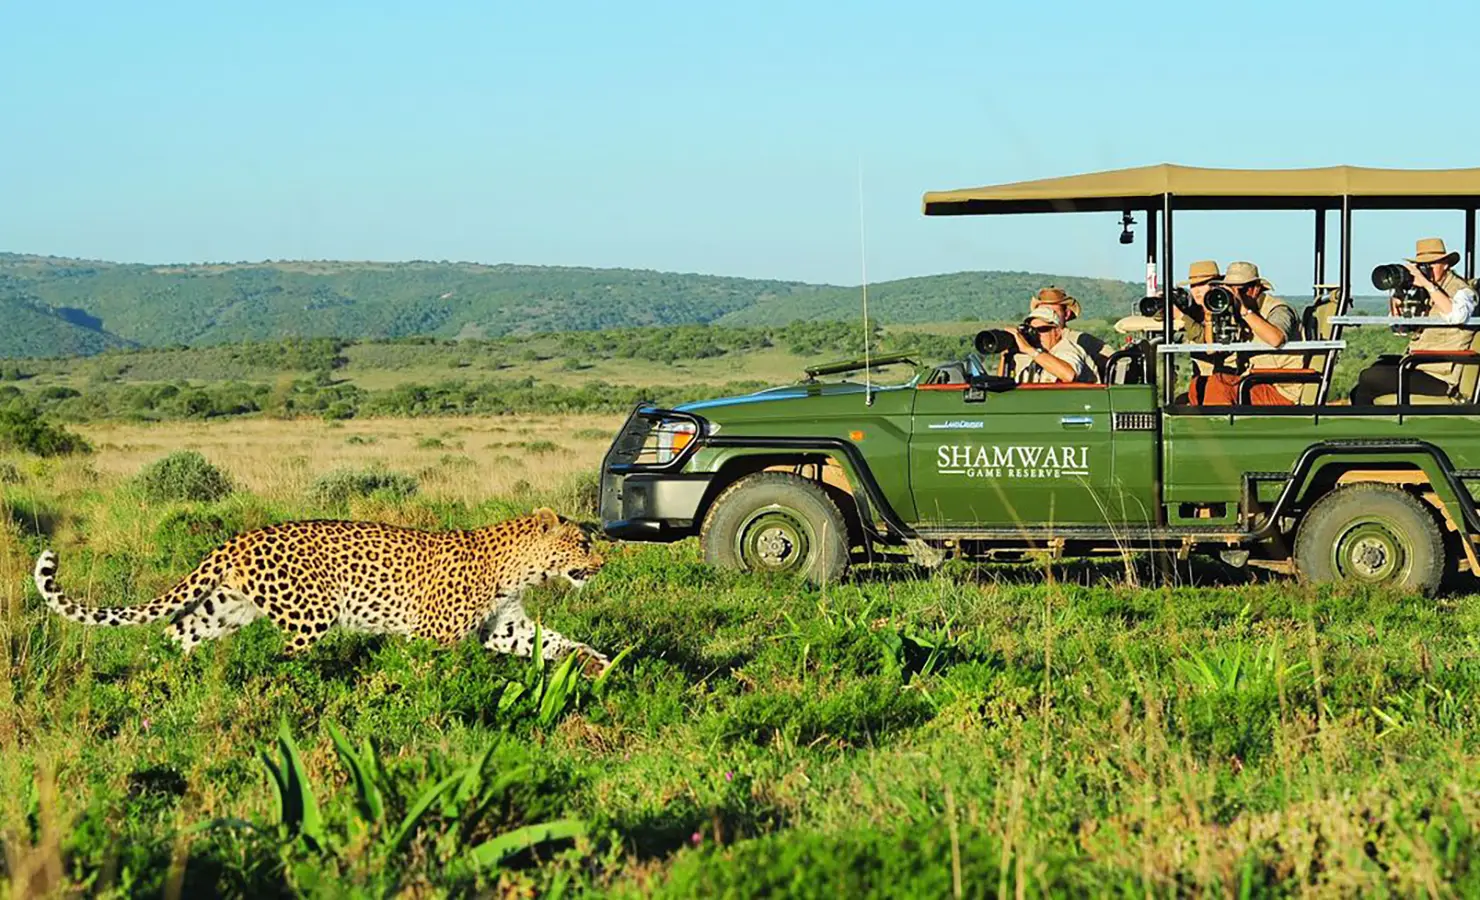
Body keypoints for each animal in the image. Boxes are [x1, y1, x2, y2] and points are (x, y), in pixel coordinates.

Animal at [32, 506, 612, 671]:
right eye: (582, 543)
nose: (602, 561)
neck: (518, 568)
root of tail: (241, 537)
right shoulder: (432, 635)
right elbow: (430, 673)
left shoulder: (503, 626)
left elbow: (551, 641)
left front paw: (596, 662)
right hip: (312, 614)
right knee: (283, 658)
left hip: (223, 609)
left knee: (175, 635)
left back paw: (159, 683)